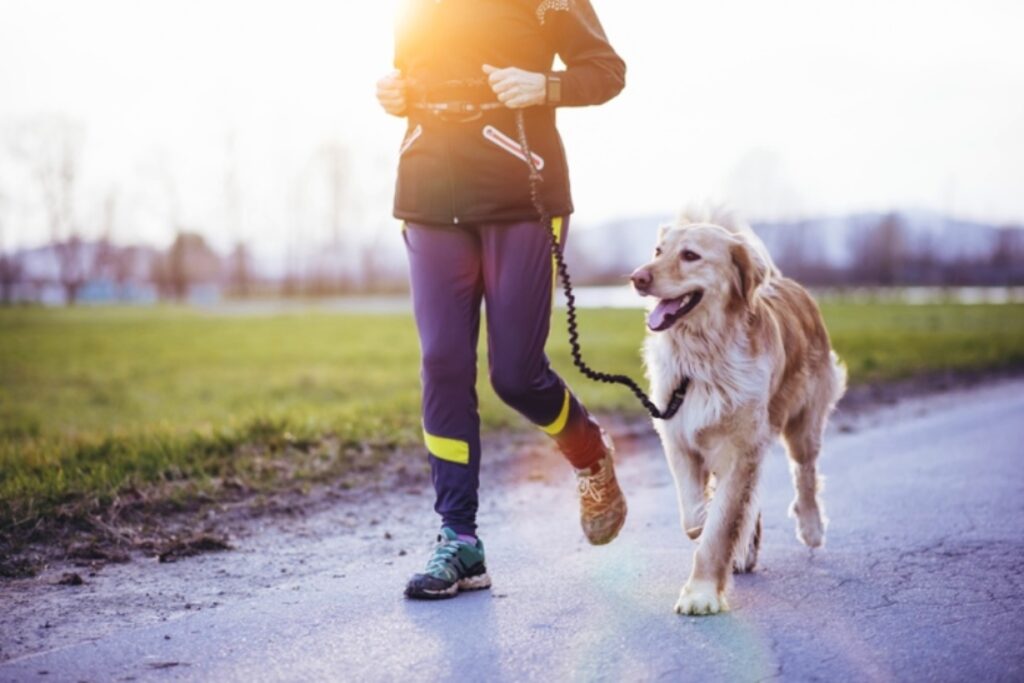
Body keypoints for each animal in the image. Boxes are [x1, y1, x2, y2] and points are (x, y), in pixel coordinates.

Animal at [630, 205, 847, 618]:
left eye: (690, 255)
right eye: (657, 251)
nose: (637, 278)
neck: (702, 354)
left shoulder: (740, 446)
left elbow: (720, 527)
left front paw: (701, 593)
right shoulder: (677, 435)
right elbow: (695, 513)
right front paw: (706, 522)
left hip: (804, 422)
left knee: (806, 473)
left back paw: (811, 528)